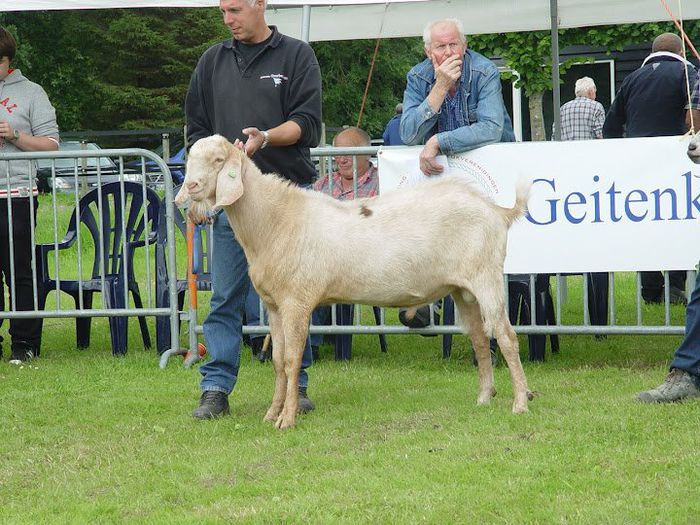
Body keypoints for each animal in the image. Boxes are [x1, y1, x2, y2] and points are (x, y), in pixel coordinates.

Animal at [175, 135, 532, 430]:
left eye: (218, 160)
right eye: (191, 158)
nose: (191, 186)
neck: (275, 221)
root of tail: (496, 210)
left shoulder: (296, 302)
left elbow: (292, 361)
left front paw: (287, 419)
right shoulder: (273, 305)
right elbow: (277, 362)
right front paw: (271, 414)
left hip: (486, 277)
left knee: (506, 337)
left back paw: (520, 403)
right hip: (463, 290)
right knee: (480, 339)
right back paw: (484, 398)